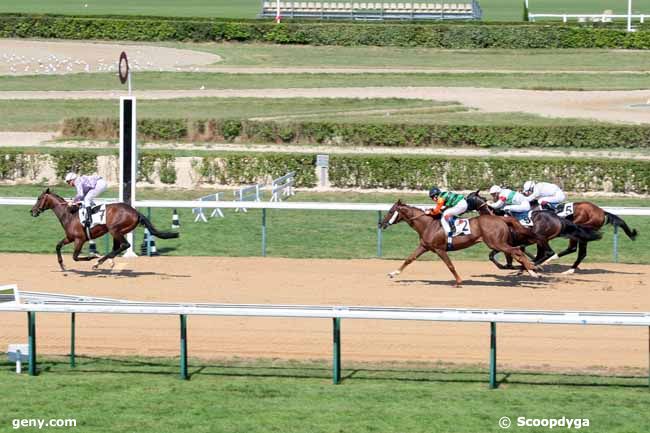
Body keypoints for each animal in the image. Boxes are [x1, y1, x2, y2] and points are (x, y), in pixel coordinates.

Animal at [29, 188, 177, 270]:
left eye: (39, 198)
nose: (32, 211)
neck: (69, 214)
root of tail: (135, 212)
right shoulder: (70, 237)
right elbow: (58, 246)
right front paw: (62, 265)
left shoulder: (79, 239)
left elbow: (75, 257)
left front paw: (92, 256)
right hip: (117, 232)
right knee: (117, 247)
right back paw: (106, 261)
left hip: (115, 230)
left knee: (125, 245)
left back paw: (99, 262)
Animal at [378, 197, 540, 286]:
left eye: (391, 211)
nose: (381, 223)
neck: (428, 224)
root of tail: (501, 218)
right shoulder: (424, 246)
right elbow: (409, 259)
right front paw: (393, 273)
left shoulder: (440, 249)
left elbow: (450, 265)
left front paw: (459, 281)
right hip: (500, 243)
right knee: (517, 251)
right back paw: (531, 269)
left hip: (496, 243)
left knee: (516, 251)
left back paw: (533, 271)